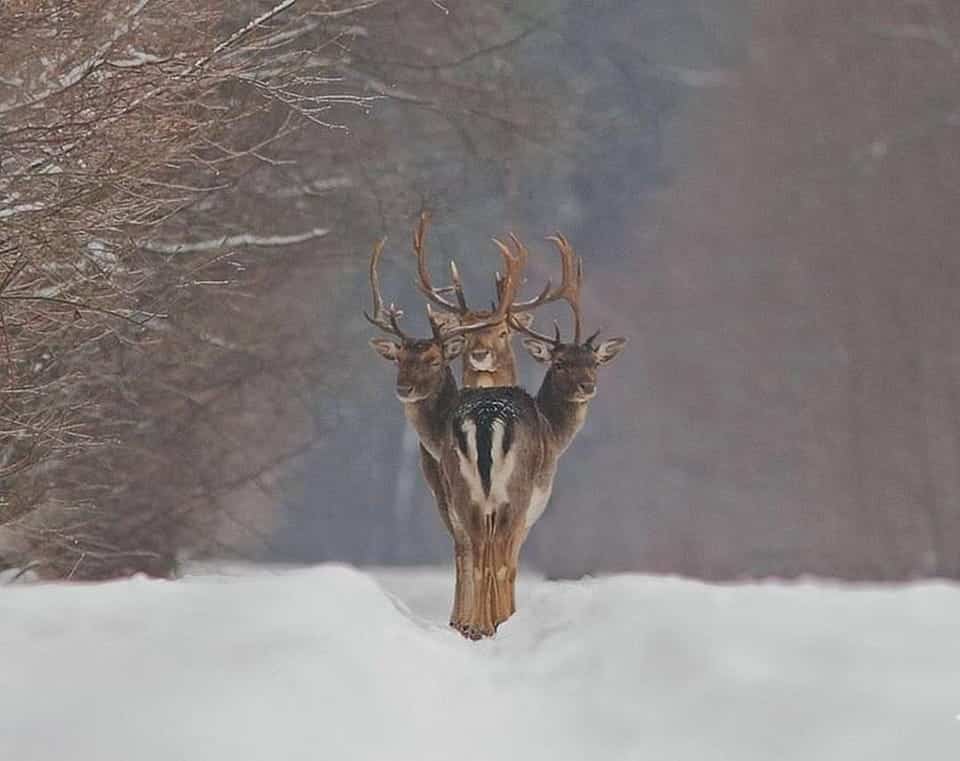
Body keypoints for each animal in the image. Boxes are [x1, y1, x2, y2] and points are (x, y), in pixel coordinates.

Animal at [436, 232, 632, 636]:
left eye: (594, 362)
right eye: (560, 363)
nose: (588, 386)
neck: (553, 430)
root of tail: (484, 421)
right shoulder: (533, 505)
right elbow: (510, 564)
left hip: (463, 493)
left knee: (473, 554)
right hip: (514, 493)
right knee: (495, 560)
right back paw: (494, 624)